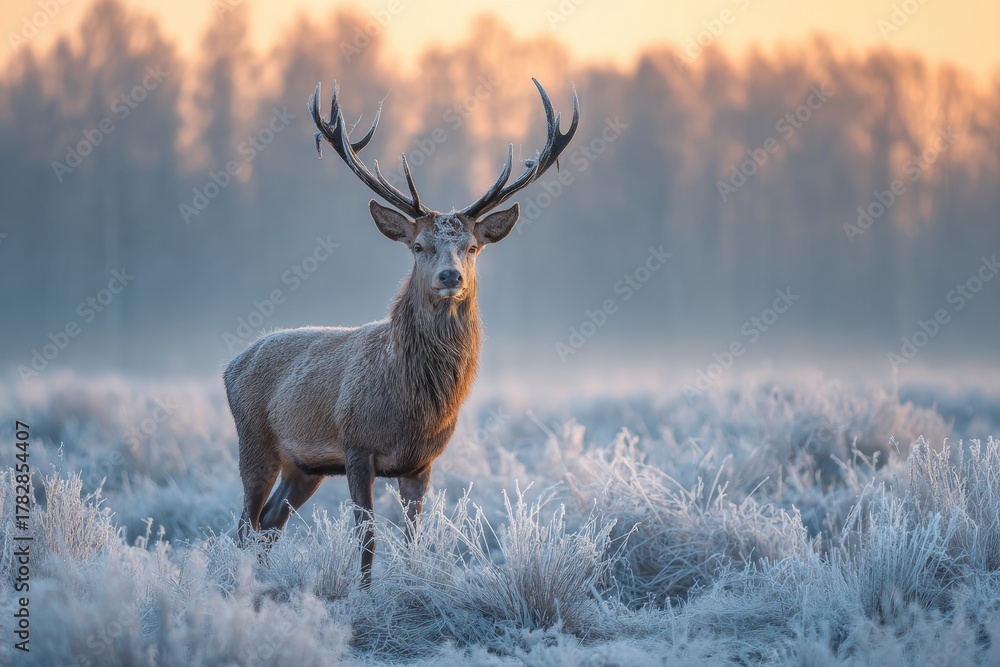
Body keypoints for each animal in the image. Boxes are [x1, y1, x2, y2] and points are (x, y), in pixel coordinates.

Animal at [224, 78, 578, 587]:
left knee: (269, 525)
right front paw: (364, 592)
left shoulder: (421, 463)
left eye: (472, 247)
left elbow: (414, 539)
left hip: (304, 467)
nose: (450, 276)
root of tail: (231, 365)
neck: (412, 405)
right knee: (244, 525)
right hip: (254, 440)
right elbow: (367, 537)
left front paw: (412, 584)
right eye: (418, 245)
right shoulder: (356, 446)